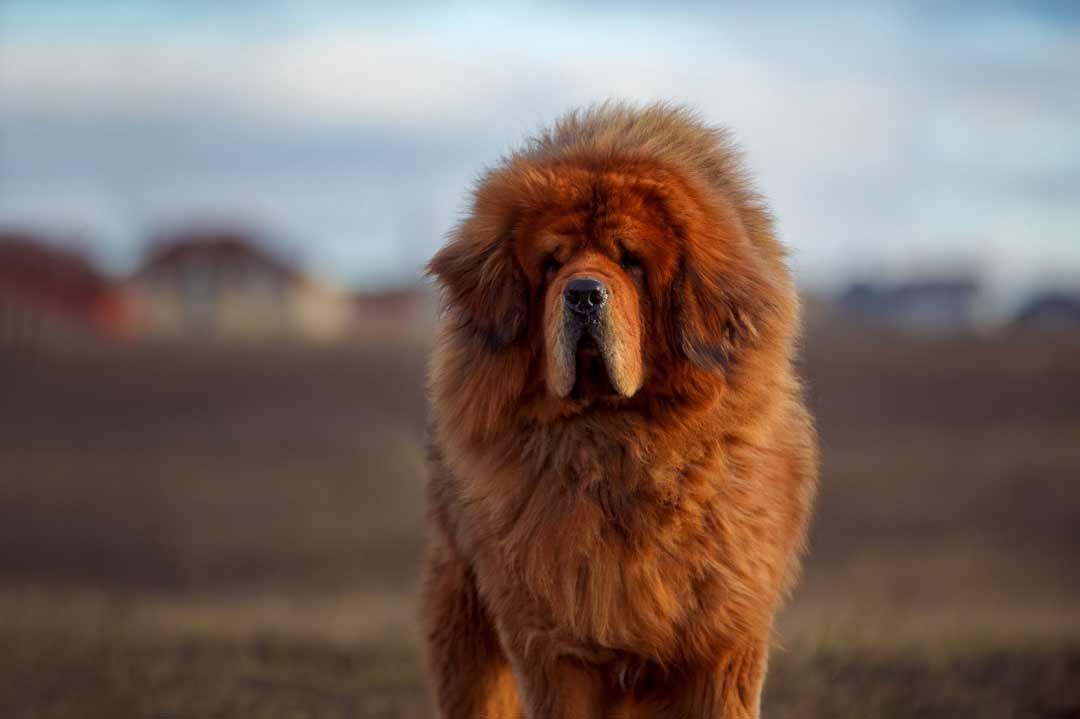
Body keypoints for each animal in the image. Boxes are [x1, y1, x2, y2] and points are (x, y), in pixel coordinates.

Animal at [421, 102, 816, 716]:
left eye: (630, 262)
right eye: (552, 263)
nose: (583, 292)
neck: (616, 445)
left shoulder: (722, 643)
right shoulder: (554, 646)